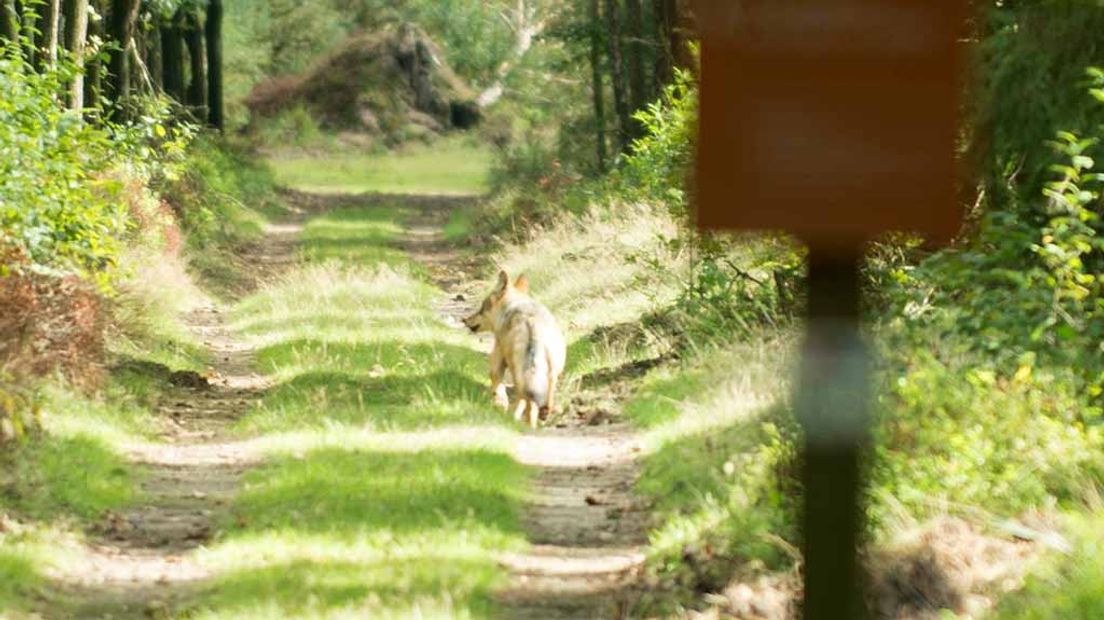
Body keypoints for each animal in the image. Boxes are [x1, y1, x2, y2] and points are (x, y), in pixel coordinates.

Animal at [465, 268, 569, 428]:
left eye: (482, 308)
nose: (464, 320)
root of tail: (532, 324)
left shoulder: (497, 355)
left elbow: (496, 381)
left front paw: (500, 403)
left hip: (518, 372)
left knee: (526, 402)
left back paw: (520, 421)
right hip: (552, 374)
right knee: (541, 402)